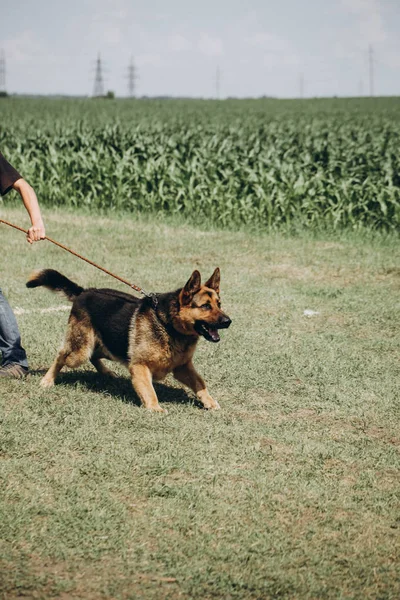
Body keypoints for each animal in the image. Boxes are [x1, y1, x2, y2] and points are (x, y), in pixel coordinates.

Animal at [26, 268, 231, 412]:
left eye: (219, 305)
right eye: (205, 306)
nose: (228, 321)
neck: (169, 324)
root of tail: (85, 292)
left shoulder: (182, 368)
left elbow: (200, 383)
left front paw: (209, 401)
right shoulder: (139, 366)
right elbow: (149, 391)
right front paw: (155, 408)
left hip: (108, 346)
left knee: (94, 356)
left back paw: (107, 372)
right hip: (80, 351)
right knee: (61, 355)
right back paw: (48, 380)